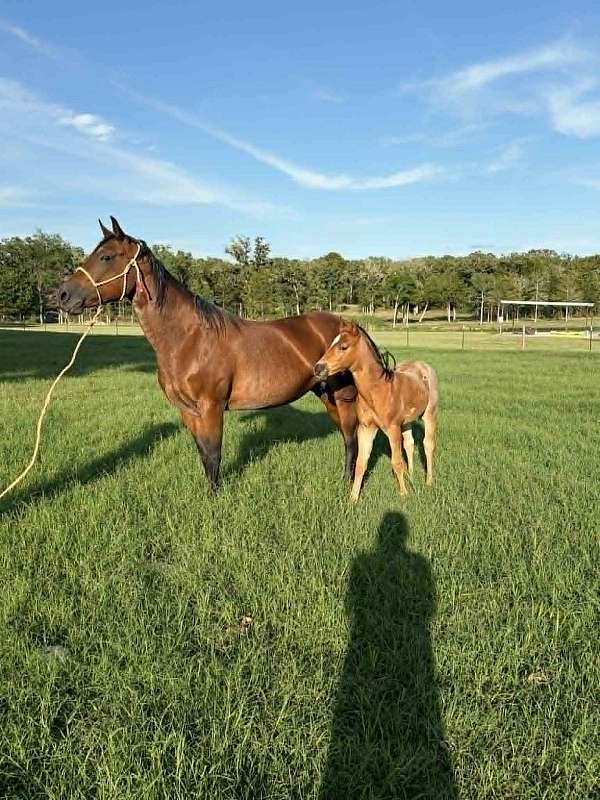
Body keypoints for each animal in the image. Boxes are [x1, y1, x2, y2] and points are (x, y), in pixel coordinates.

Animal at [56, 217, 358, 490]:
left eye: (106, 256)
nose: (62, 294)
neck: (189, 340)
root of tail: (346, 326)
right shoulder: (188, 411)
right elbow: (204, 454)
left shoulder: (211, 406)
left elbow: (214, 454)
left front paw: (215, 497)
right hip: (325, 394)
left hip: (342, 396)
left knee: (351, 437)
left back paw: (347, 482)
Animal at [314, 320, 439, 501]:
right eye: (331, 344)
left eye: (343, 346)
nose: (318, 368)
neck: (378, 390)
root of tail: (423, 365)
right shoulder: (366, 428)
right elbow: (361, 463)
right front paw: (353, 498)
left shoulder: (392, 429)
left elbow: (396, 462)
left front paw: (404, 494)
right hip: (406, 422)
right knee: (409, 444)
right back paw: (411, 475)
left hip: (430, 415)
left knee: (428, 445)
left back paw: (429, 481)